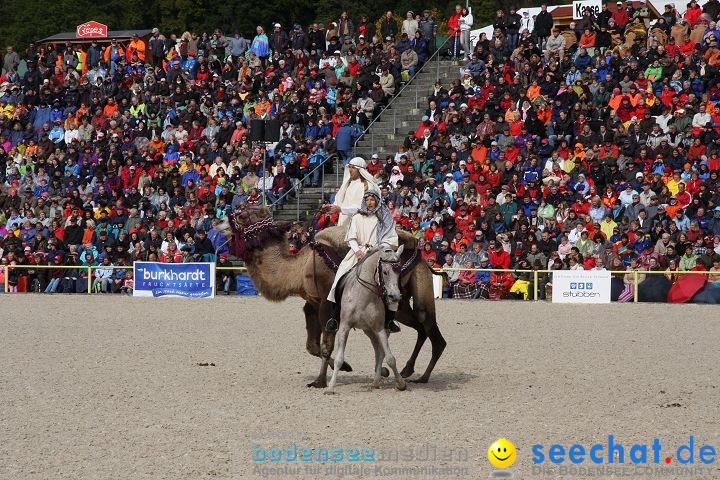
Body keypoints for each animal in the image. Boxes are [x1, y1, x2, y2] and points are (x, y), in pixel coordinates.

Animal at [324, 244, 404, 394]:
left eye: (399, 273)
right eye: (385, 272)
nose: (395, 297)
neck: (363, 295)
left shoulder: (379, 328)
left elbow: (390, 358)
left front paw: (401, 384)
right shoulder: (344, 327)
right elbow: (339, 359)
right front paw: (331, 387)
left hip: (378, 330)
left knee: (380, 352)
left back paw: (376, 381)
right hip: (369, 331)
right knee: (378, 351)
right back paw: (376, 381)